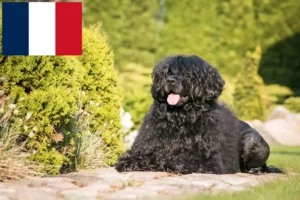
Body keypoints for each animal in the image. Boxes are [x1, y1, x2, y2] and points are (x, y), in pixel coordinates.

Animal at [115, 54, 282, 173]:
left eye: (187, 74)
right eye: (167, 73)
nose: (170, 80)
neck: (179, 118)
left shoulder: (205, 159)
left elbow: (174, 158)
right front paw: (131, 161)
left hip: (252, 139)